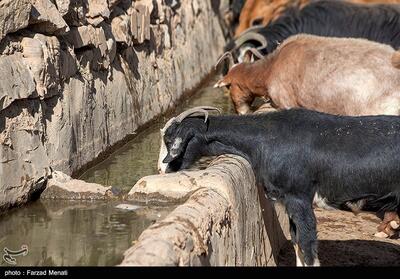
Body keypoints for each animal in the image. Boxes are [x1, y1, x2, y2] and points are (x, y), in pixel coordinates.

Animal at [159, 106, 400, 266]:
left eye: (170, 141)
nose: (163, 169)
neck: (267, 139)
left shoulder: (298, 198)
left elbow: (307, 245)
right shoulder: (287, 202)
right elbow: (297, 242)